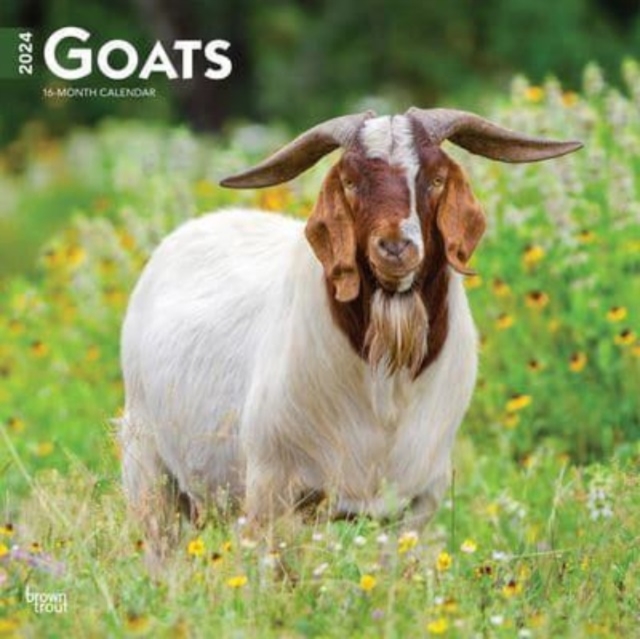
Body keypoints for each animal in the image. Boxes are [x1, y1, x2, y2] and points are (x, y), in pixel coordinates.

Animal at [119, 108, 581, 555]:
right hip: (148, 470)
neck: (385, 390)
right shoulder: (272, 492)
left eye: (435, 178)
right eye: (349, 180)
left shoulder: (417, 501)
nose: (395, 248)